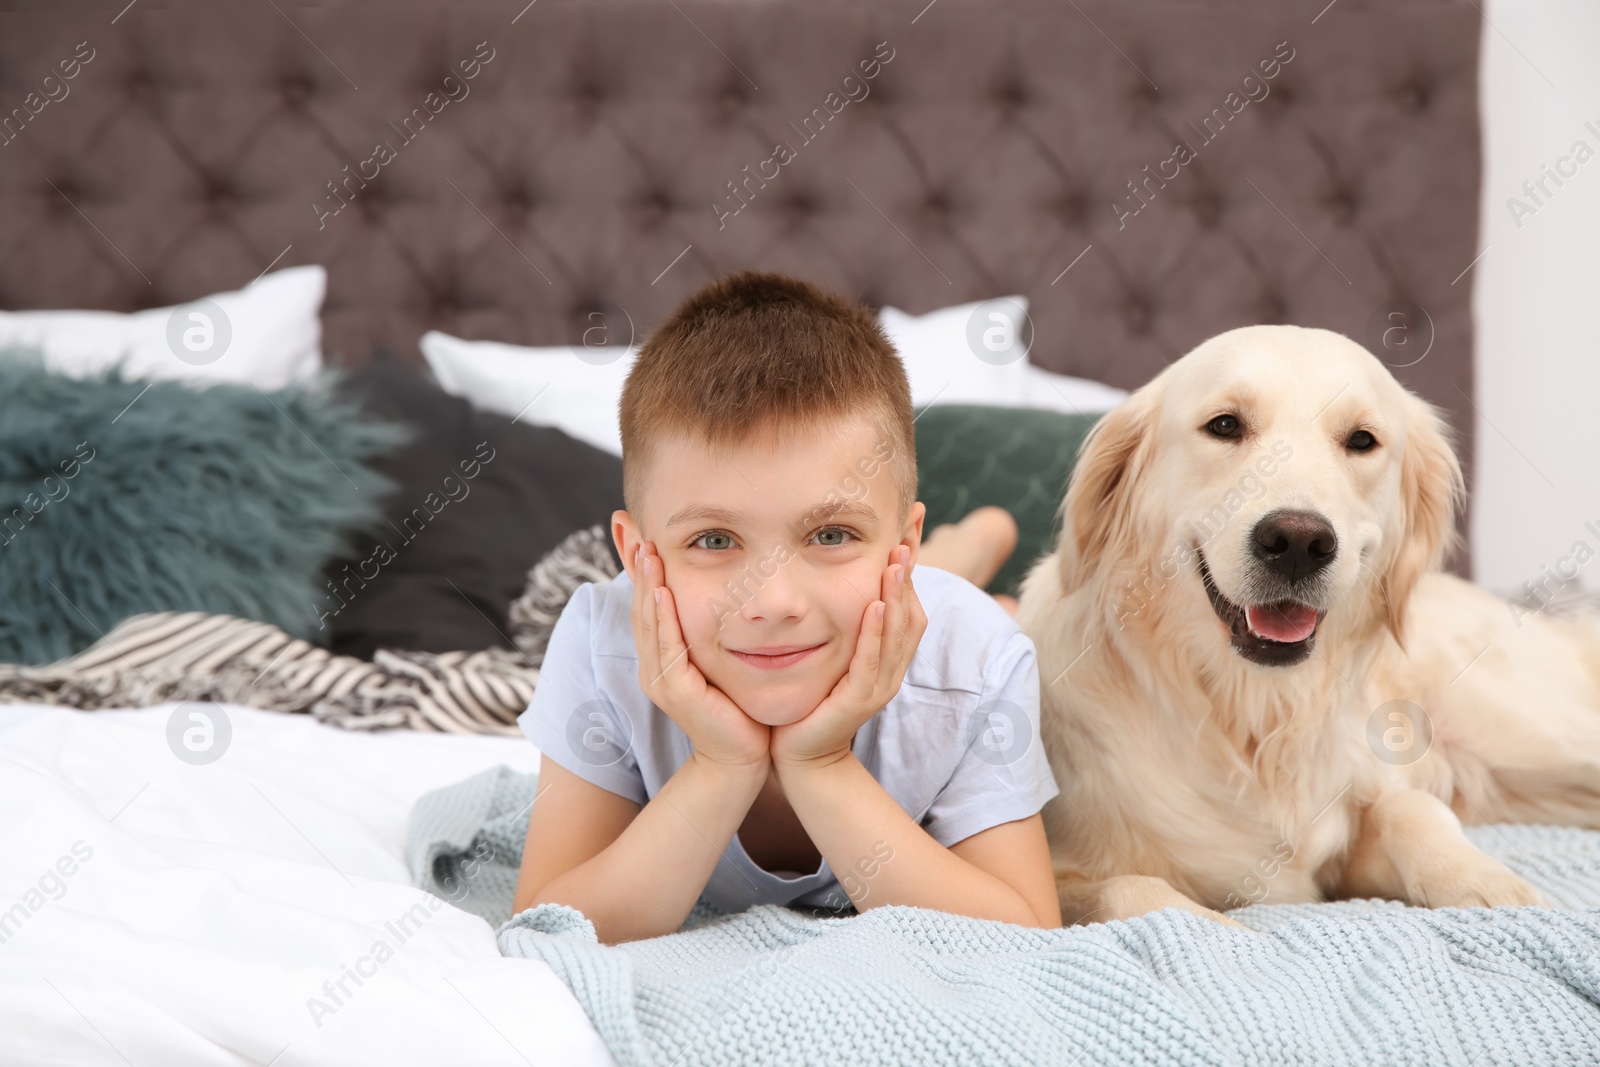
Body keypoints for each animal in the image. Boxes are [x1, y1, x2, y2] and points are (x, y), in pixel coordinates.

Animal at [1017, 326, 1600, 927]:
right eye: (1224, 425)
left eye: (1362, 440)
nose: (1297, 541)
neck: (1256, 716)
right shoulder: (1061, 876)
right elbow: (1130, 888)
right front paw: (1220, 931)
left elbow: (1408, 806)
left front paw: (1487, 884)